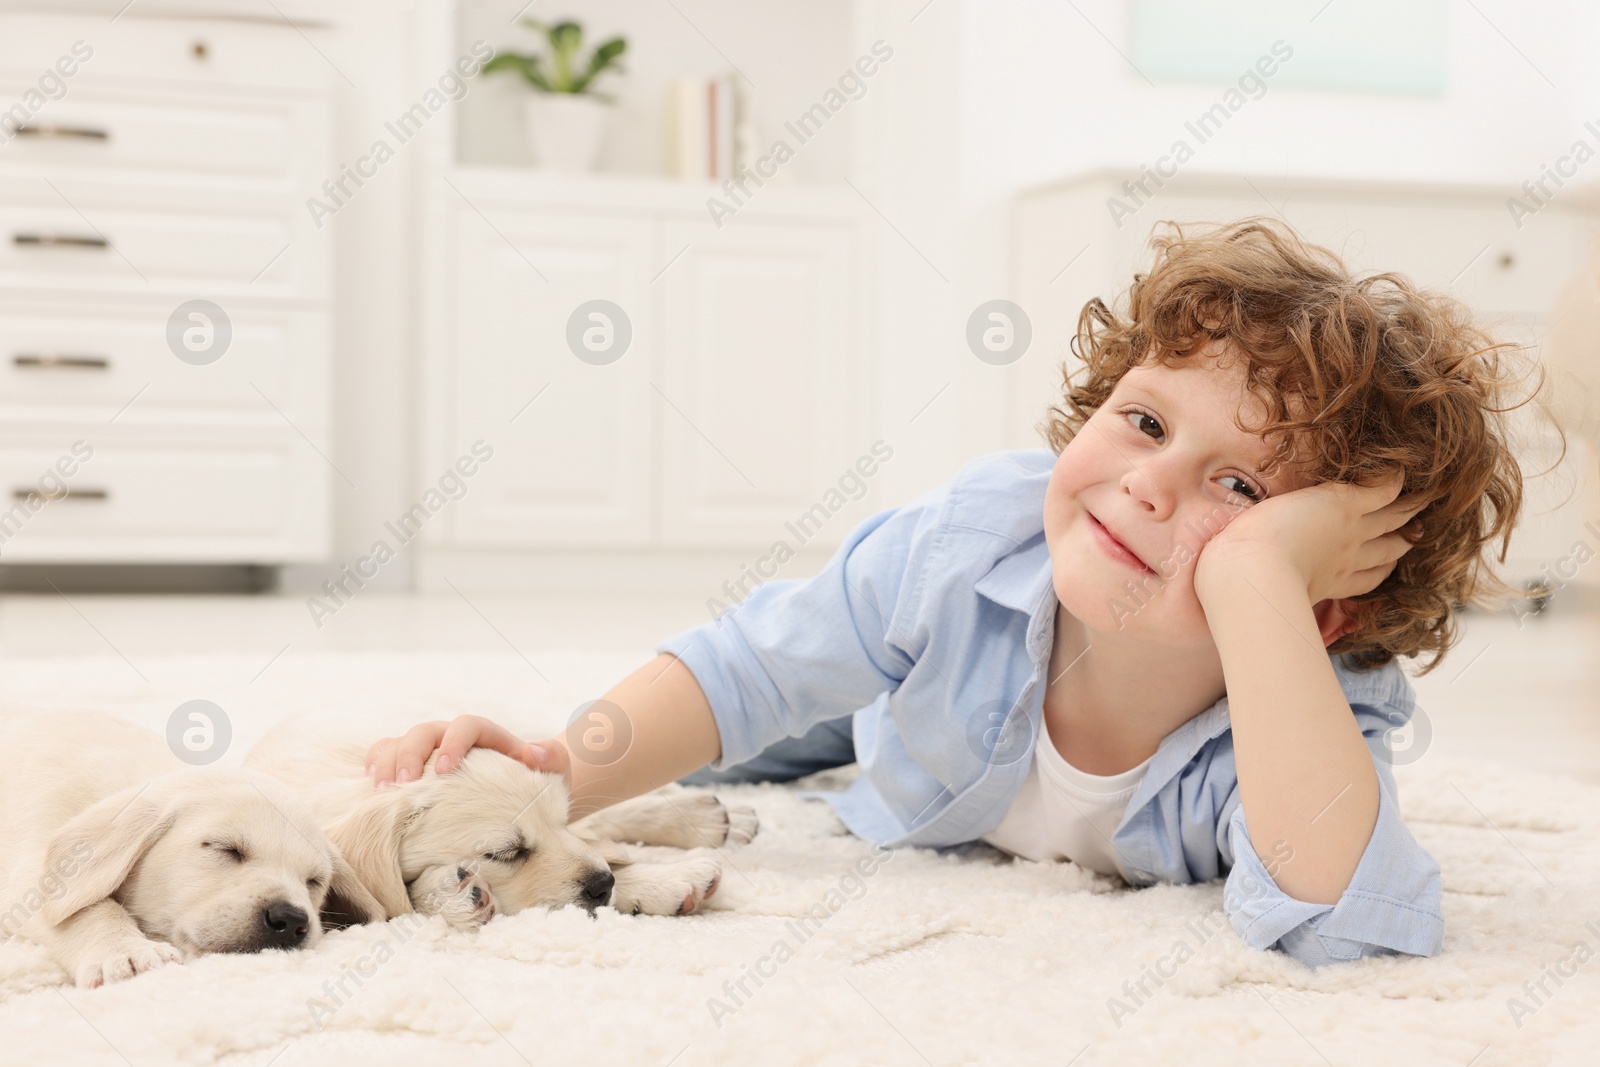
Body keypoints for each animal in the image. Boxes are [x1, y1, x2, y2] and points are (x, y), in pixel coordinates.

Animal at [246, 713, 758, 927]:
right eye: (507, 853)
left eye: (558, 825)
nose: (602, 884)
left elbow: (596, 846)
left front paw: (659, 877)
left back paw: (713, 814)